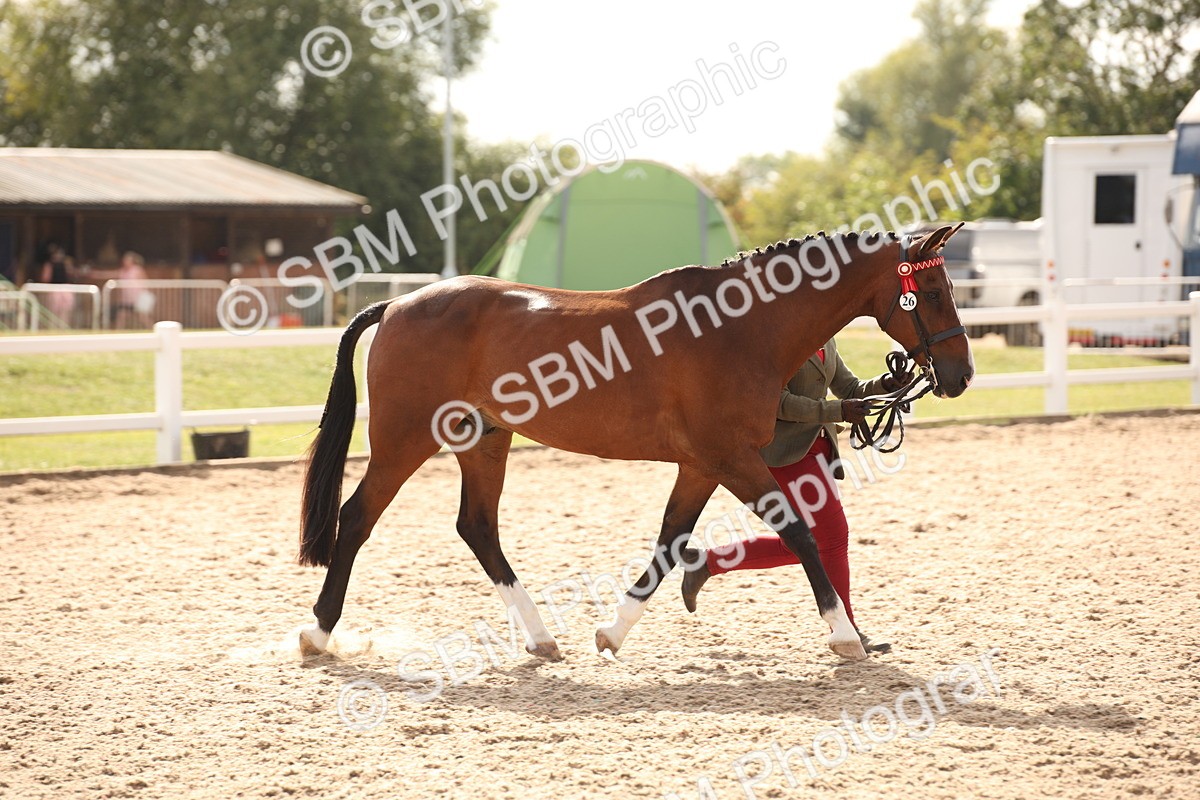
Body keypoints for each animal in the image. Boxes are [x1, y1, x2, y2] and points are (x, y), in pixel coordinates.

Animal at [297, 224, 973, 663]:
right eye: (935, 293)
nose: (961, 374)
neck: (741, 327)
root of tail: (395, 304)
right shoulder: (731, 458)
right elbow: (800, 533)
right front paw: (845, 638)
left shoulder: (702, 465)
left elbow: (671, 543)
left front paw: (612, 634)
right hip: (403, 441)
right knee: (357, 517)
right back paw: (317, 634)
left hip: (484, 441)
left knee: (477, 528)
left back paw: (542, 640)